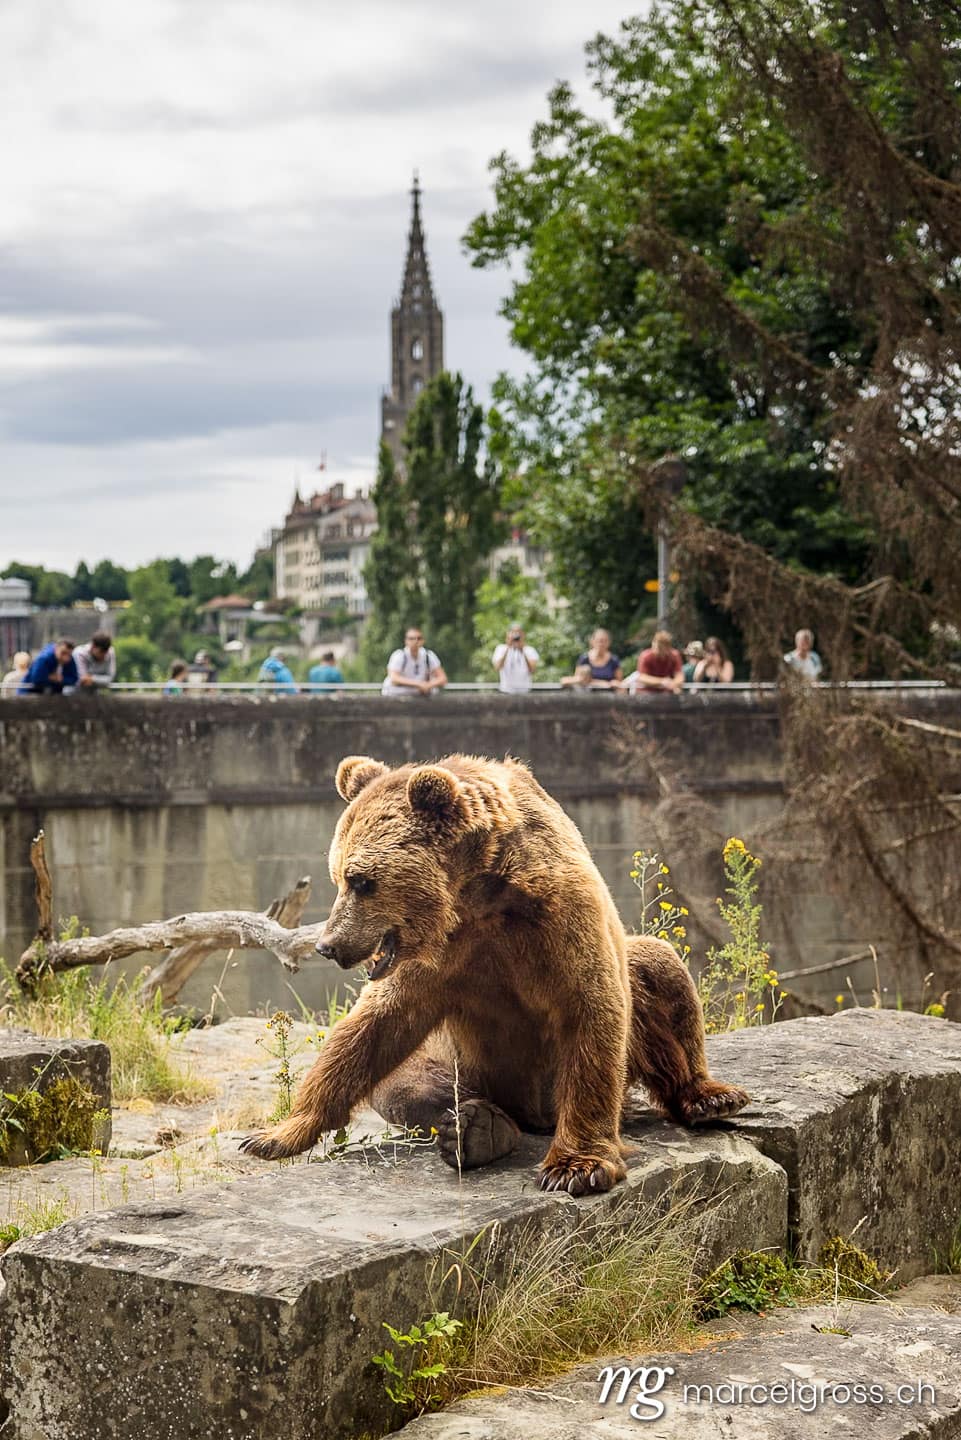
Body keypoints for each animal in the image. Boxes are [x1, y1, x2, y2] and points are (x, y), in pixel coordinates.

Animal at [241, 753, 748, 1195]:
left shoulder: (561, 920)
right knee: (404, 1086)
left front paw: (576, 1167)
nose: (329, 945)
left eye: (362, 880)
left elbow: (591, 1010)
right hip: (460, 1066)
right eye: (337, 876)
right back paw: (478, 1130)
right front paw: (273, 1135)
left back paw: (709, 1096)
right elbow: (370, 1030)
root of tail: (536, 1116)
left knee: (661, 969)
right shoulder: (442, 960)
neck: (479, 896)